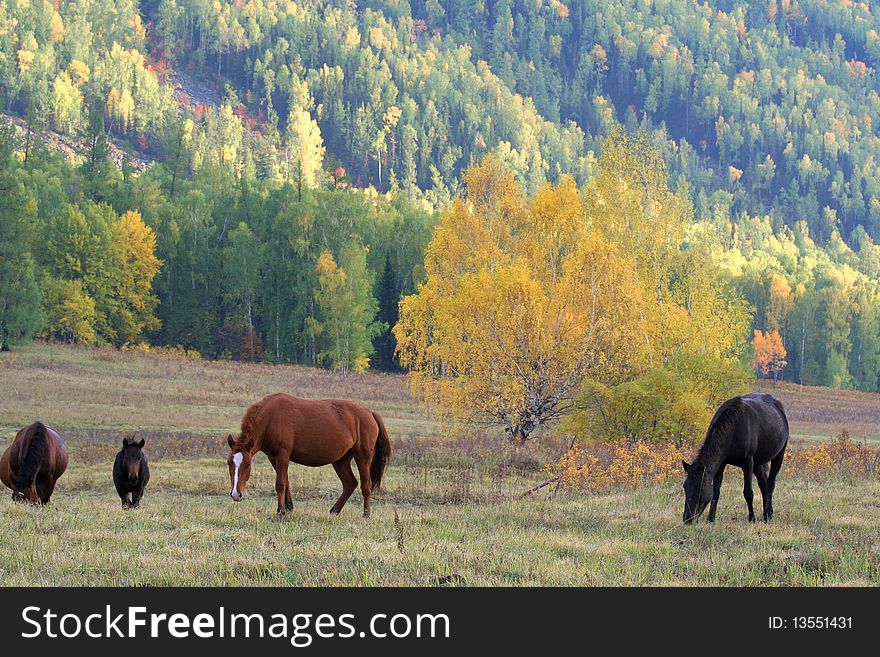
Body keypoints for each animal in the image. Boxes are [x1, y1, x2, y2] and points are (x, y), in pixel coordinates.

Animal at [227, 392, 392, 516]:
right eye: (229, 463)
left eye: (248, 465)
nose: (236, 494)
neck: (271, 418)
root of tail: (369, 413)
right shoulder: (273, 457)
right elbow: (286, 482)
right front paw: (289, 507)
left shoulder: (283, 455)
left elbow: (280, 484)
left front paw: (280, 511)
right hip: (341, 460)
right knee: (350, 483)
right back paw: (334, 510)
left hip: (362, 457)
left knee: (366, 486)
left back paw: (366, 514)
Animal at [680, 392, 792, 524]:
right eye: (685, 486)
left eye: (700, 487)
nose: (687, 519)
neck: (734, 428)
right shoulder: (721, 464)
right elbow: (716, 492)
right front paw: (711, 518)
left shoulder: (748, 462)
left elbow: (748, 493)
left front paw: (752, 518)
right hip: (758, 463)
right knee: (763, 484)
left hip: (778, 456)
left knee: (770, 484)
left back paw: (767, 515)